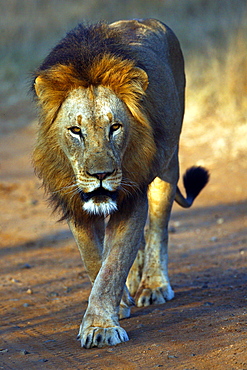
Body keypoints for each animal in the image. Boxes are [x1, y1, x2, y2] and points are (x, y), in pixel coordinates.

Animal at [31, 18, 208, 348]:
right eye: (76, 131)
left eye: (115, 127)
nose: (100, 175)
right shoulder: (76, 203)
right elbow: (94, 258)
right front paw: (118, 302)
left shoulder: (132, 196)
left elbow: (113, 264)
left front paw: (100, 327)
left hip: (168, 165)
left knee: (158, 229)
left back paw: (153, 285)